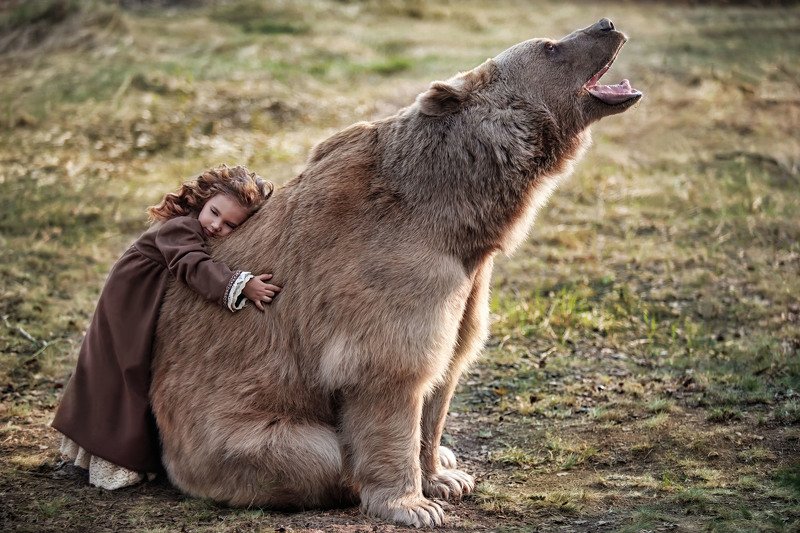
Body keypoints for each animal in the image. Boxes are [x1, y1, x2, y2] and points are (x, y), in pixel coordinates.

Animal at [151, 18, 641, 528]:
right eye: (549, 47)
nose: (606, 24)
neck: (455, 211)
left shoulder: (466, 282)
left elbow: (446, 367)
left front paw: (446, 478)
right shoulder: (386, 269)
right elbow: (393, 371)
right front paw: (415, 505)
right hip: (225, 434)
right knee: (317, 455)